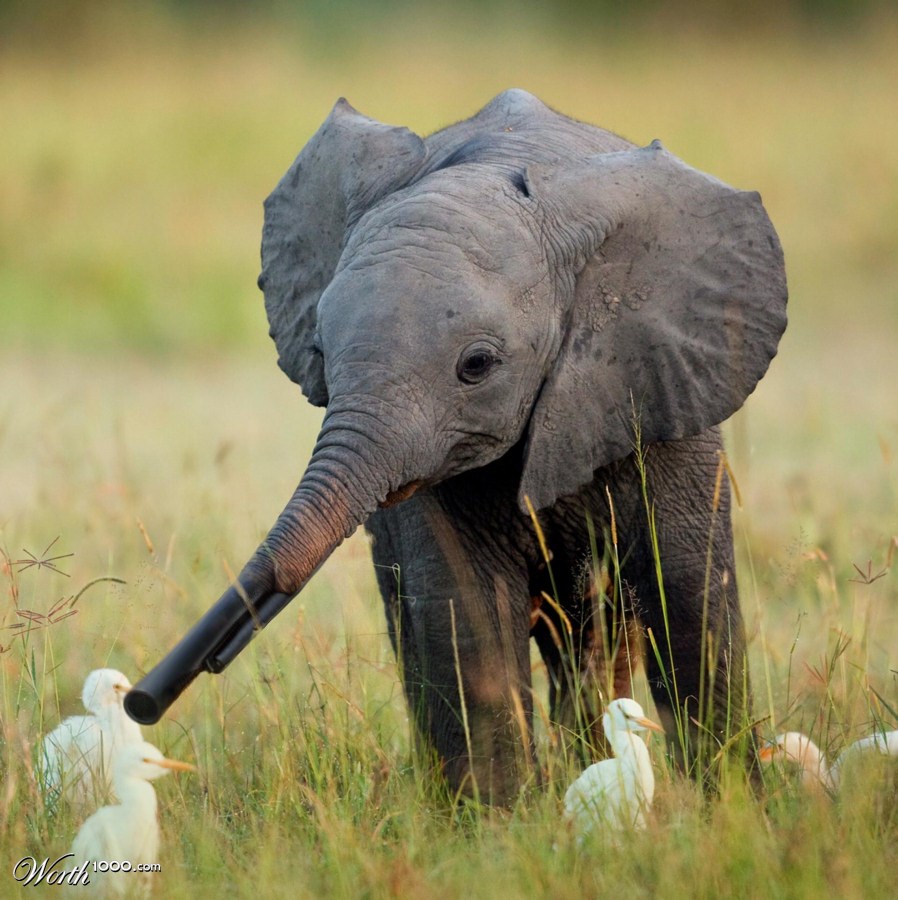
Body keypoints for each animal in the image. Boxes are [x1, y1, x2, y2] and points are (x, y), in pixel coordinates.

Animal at [128, 89, 787, 804]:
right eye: (320, 354)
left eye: (477, 365)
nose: (141, 701)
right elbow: (465, 613)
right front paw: (502, 824)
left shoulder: (664, 380)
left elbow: (688, 597)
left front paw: (735, 810)